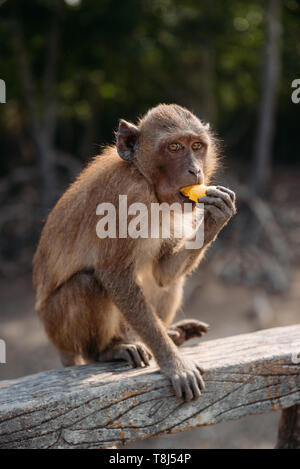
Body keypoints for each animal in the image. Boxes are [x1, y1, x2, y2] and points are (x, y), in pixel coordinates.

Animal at [33, 102, 237, 398]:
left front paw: (217, 215)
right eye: (174, 147)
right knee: (87, 284)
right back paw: (109, 350)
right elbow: (114, 275)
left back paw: (173, 333)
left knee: (167, 281)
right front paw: (174, 363)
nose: (195, 171)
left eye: (197, 146)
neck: (145, 179)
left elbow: (163, 273)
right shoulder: (126, 196)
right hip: (58, 327)